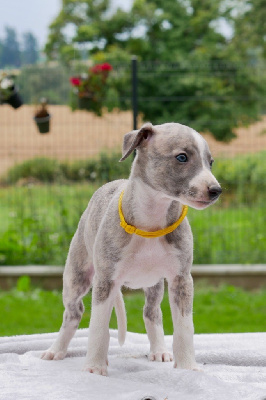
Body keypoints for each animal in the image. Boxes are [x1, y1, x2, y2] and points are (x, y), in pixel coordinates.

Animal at [41, 122, 221, 376]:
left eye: (210, 162)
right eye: (182, 157)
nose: (216, 190)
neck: (151, 221)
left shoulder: (181, 279)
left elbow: (185, 327)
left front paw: (187, 367)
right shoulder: (106, 281)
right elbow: (98, 328)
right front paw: (94, 367)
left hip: (154, 283)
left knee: (152, 311)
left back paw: (159, 350)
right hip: (77, 276)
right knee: (73, 312)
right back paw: (56, 350)